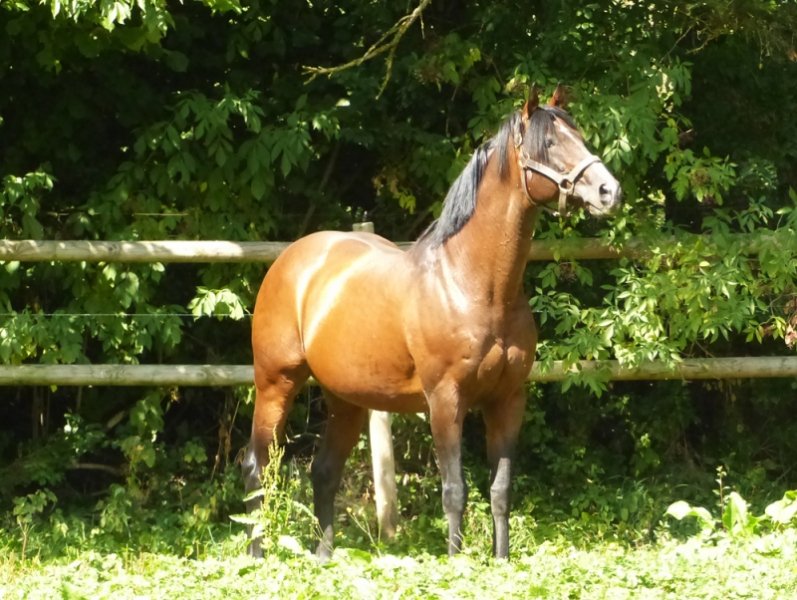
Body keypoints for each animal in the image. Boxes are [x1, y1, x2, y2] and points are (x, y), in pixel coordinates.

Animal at [242, 84, 621, 560]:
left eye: (581, 136)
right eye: (550, 143)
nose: (609, 191)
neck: (473, 285)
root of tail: (291, 259)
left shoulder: (508, 399)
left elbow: (500, 491)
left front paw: (501, 560)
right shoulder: (445, 399)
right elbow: (454, 491)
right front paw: (457, 561)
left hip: (345, 399)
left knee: (324, 471)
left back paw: (324, 556)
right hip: (276, 384)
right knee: (258, 470)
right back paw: (258, 556)